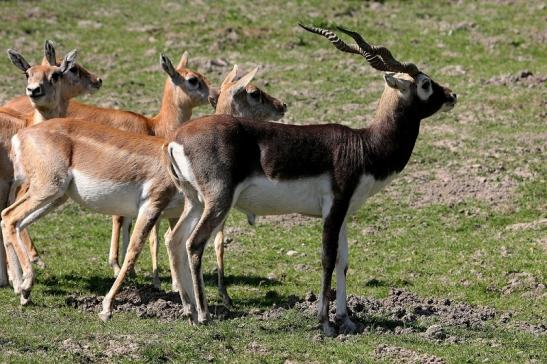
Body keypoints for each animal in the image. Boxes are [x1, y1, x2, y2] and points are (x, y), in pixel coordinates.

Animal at [166, 25, 458, 336]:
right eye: (425, 83)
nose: (452, 95)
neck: (365, 146)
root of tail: (175, 139)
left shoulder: (344, 213)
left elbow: (343, 261)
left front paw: (346, 320)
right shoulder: (334, 207)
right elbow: (328, 259)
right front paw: (326, 323)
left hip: (195, 201)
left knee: (175, 240)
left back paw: (188, 310)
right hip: (218, 201)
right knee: (194, 243)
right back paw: (203, 315)